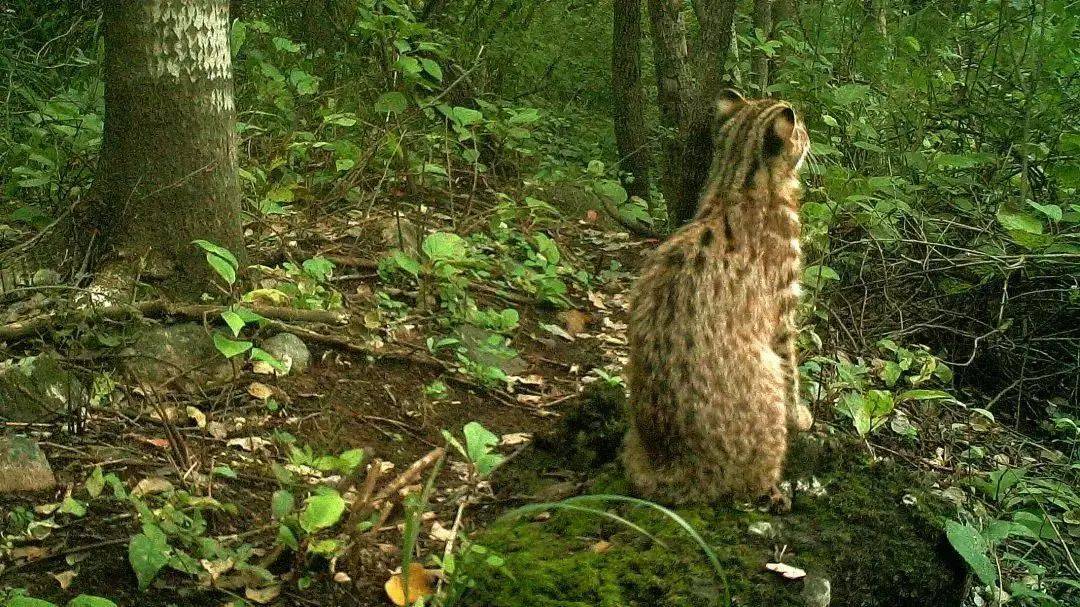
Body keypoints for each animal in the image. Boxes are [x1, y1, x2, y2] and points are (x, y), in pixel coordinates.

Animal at [626, 88, 812, 505]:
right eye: (801, 130)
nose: (810, 137)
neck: (736, 176)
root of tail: (678, 466)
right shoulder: (783, 307)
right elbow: (792, 367)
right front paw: (801, 416)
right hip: (764, 377)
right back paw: (773, 491)